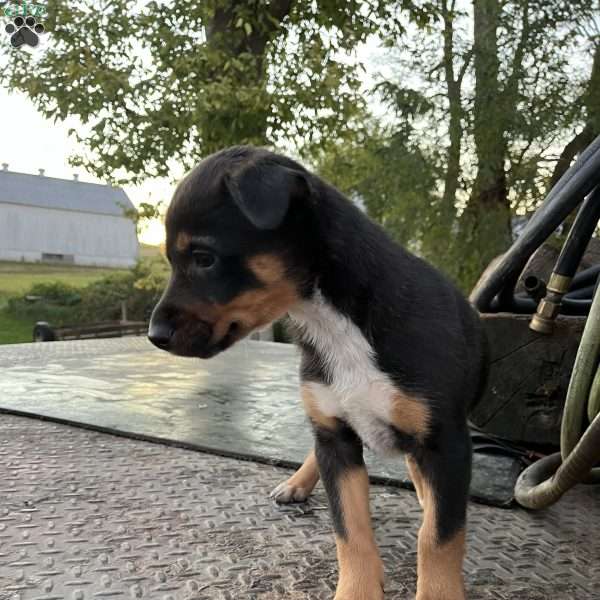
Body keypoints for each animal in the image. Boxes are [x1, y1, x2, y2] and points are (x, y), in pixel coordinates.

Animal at [149, 145, 488, 600]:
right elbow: (350, 531)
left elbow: (439, 537)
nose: (154, 335)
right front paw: (356, 591)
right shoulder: (335, 438)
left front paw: (438, 591)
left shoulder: (445, 441)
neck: (334, 325)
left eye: (204, 259)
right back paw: (299, 482)